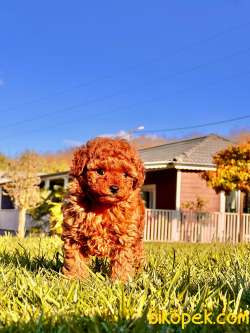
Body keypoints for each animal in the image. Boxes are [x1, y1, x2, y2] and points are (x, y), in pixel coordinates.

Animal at [61, 136, 146, 280]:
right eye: (100, 171)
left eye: (125, 175)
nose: (114, 188)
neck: (103, 207)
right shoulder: (74, 235)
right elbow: (75, 261)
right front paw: (75, 280)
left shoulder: (125, 237)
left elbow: (123, 262)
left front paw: (121, 282)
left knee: (138, 255)